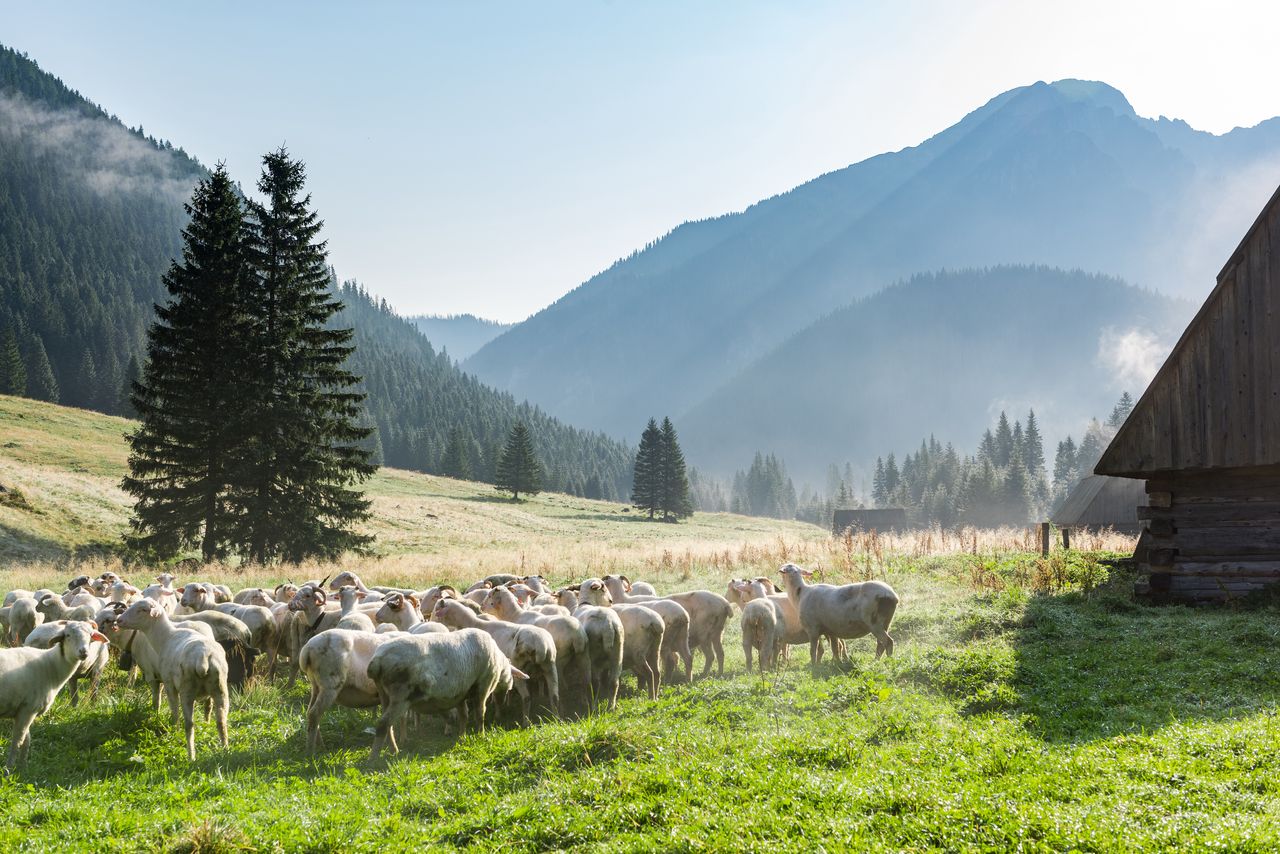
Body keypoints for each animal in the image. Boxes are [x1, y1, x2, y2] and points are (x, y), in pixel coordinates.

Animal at [0, 617, 106, 773]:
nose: (84, 652)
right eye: (67, 635)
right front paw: (8, 770)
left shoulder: (27, 711)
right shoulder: (27, 709)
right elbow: (18, 741)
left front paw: (23, 769)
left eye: (91, 636)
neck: (50, 666)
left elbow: (26, 741)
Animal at [117, 601, 230, 763]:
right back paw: (225, 751)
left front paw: (173, 731)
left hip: (187, 690)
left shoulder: (169, 684)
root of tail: (203, 658)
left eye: (142, 609)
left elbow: (174, 713)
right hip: (220, 688)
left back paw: (191, 755)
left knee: (189, 724)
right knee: (221, 721)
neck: (165, 637)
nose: (119, 620)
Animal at [368, 624, 527, 757]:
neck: (499, 666)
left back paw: (393, 749)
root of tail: (377, 661)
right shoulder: (483, 686)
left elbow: (464, 715)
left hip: (384, 694)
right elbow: (480, 714)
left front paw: (462, 738)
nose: (503, 701)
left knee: (388, 725)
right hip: (401, 696)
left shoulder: (460, 692)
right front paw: (481, 736)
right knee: (383, 724)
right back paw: (374, 757)